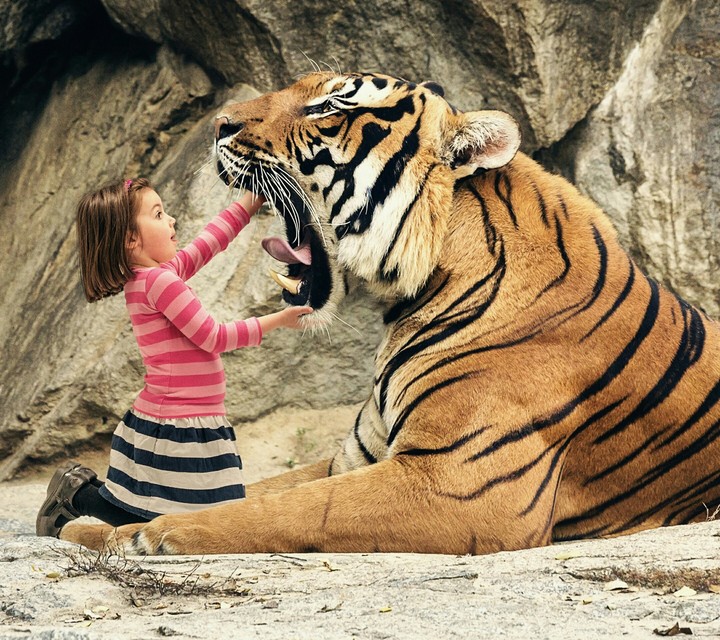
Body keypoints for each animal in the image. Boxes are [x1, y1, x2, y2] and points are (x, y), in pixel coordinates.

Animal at [62, 71, 720, 556]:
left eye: (327, 105)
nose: (219, 124)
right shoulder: (358, 455)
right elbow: (255, 492)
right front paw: (92, 525)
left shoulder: (458, 485)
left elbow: (288, 509)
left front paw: (153, 533)